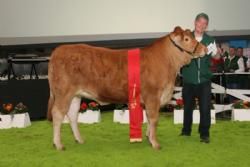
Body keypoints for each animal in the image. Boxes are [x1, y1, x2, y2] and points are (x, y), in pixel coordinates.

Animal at [47, 26, 207, 150]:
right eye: (186, 39)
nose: (204, 49)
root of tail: (58, 51)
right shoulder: (153, 95)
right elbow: (154, 118)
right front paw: (155, 143)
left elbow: (149, 118)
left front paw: (149, 137)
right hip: (63, 92)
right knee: (58, 114)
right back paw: (58, 144)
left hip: (75, 95)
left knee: (72, 115)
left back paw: (79, 139)